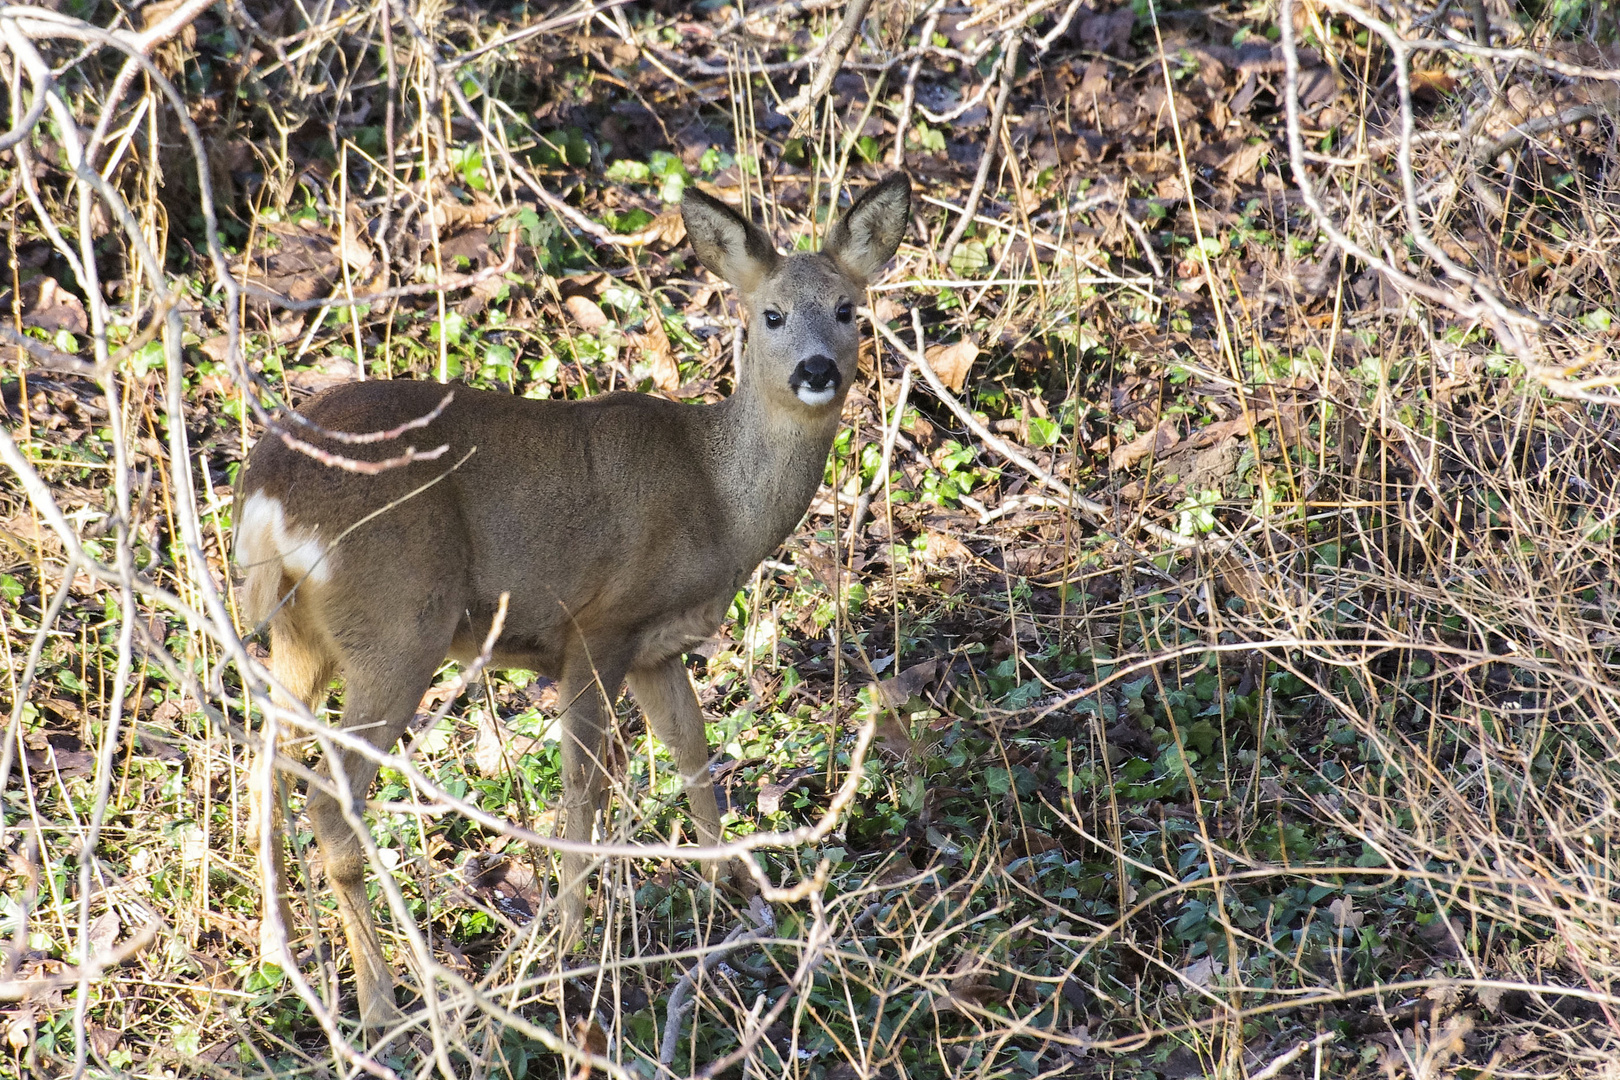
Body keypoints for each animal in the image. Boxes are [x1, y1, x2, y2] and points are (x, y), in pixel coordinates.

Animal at [236, 175, 913, 1029]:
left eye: (850, 308)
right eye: (771, 314)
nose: (818, 369)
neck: (719, 499)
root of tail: (269, 492)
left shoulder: (658, 645)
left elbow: (693, 755)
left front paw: (731, 894)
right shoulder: (599, 624)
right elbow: (584, 785)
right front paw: (568, 939)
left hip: (303, 637)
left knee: (263, 761)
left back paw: (278, 949)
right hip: (400, 625)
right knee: (329, 798)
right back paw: (384, 1002)